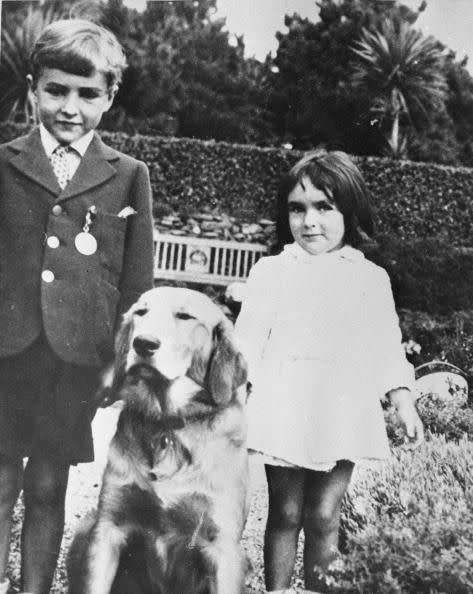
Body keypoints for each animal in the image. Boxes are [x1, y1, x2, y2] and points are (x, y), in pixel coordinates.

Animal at [69, 286, 251, 592]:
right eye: (141, 312)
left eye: (185, 316)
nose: (143, 343)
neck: (168, 423)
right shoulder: (109, 528)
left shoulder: (222, 546)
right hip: (86, 527)